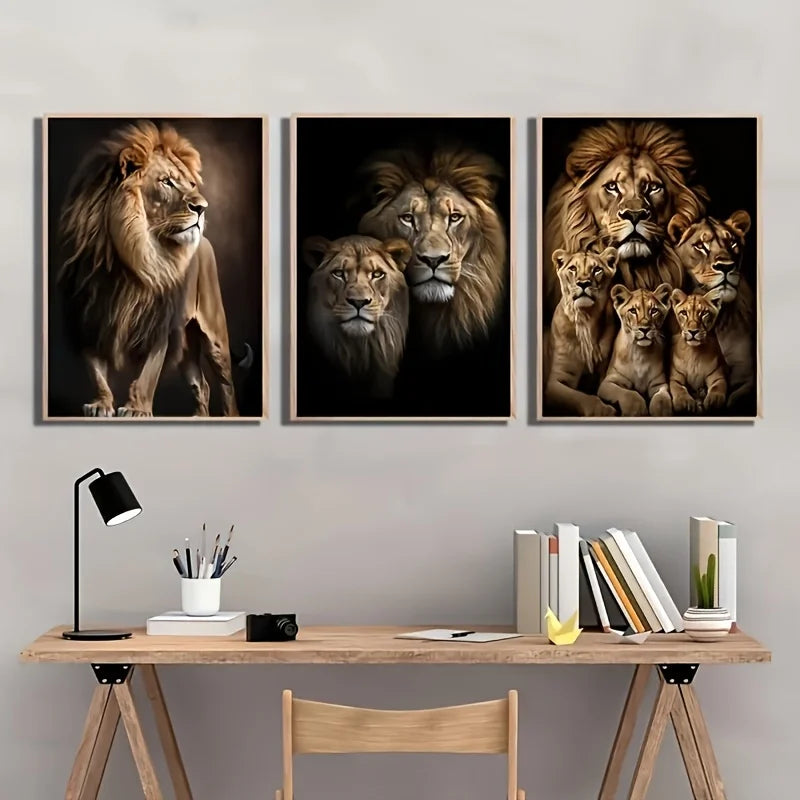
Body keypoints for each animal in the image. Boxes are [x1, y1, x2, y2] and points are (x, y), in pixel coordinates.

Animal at [58, 120, 239, 417]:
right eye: (167, 181)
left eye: (191, 184)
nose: (203, 208)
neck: (131, 258)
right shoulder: (88, 318)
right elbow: (96, 371)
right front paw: (101, 404)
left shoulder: (159, 325)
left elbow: (148, 373)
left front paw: (136, 409)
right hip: (186, 344)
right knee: (201, 385)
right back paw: (198, 417)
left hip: (215, 338)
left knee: (226, 385)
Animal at [544, 247, 619, 416]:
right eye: (573, 268)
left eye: (597, 269)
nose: (583, 283)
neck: (586, 319)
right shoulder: (554, 382)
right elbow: (581, 397)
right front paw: (603, 410)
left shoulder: (604, 372)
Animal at [598, 283, 673, 416]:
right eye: (633, 311)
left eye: (654, 311)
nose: (644, 329)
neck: (640, 353)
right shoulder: (607, 383)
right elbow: (629, 394)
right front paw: (637, 410)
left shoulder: (659, 383)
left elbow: (661, 398)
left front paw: (662, 411)